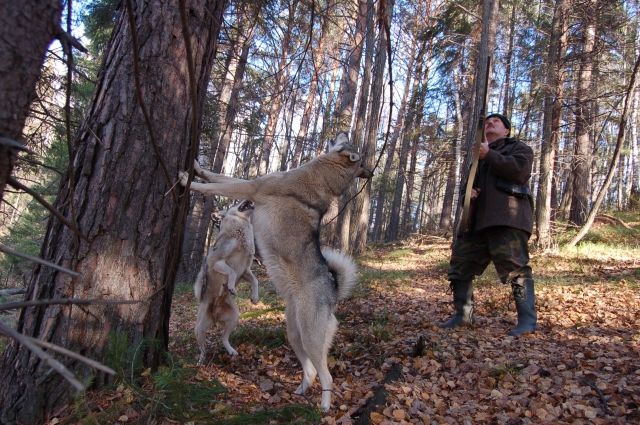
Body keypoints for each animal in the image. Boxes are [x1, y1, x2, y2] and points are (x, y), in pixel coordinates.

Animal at [192, 200, 260, 364]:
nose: (249, 199)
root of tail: (215, 316)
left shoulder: (245, 270)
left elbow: (255, 281)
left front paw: (254, 298)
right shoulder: (215, 261)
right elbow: (231, 272)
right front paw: (230, 287)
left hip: (234, 319)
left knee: (223, 338)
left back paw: (231, 351)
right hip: (199, 329)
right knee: (203, 349)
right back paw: (200, 362)